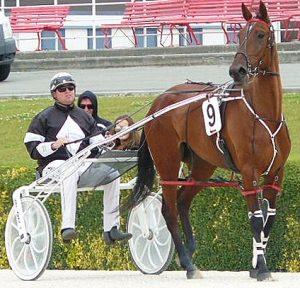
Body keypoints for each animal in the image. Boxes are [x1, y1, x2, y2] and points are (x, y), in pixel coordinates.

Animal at [127, 1, 290, 282]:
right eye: (239, 34)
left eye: (259, 34)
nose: (237, 70)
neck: (265, 115)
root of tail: (158, 103)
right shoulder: (249, 173)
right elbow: (256, 220)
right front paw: (262, 268)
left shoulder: (275, 175)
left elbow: (268, 221)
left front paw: (256, 265)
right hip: (168, 163)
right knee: (169, 209)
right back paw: (188, 264)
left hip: (203, 166)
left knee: (183, 202)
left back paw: (189, 253)